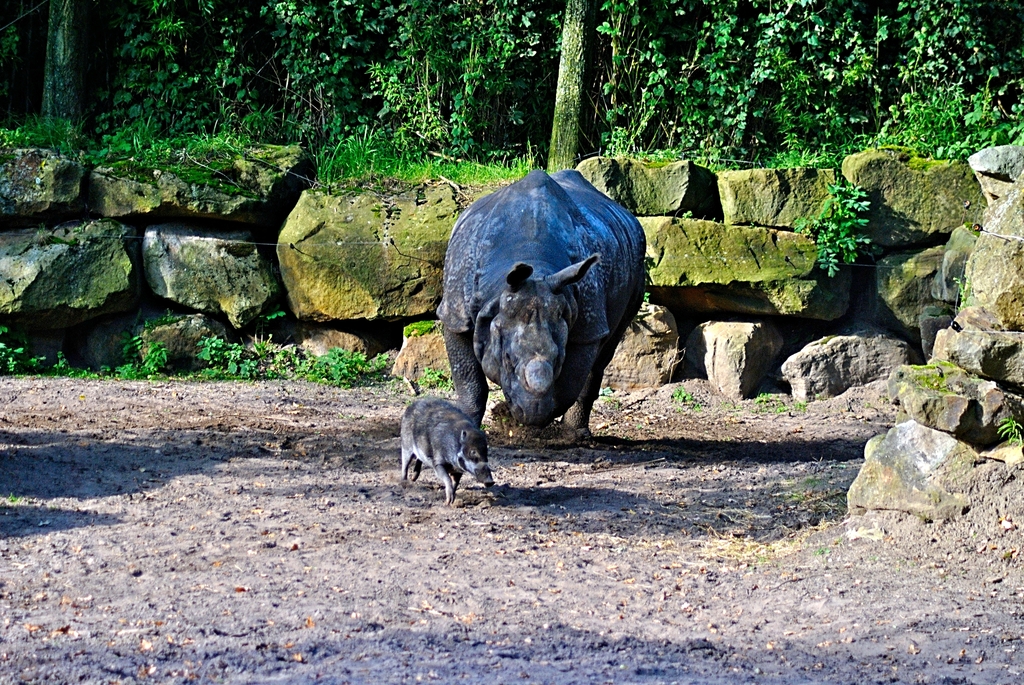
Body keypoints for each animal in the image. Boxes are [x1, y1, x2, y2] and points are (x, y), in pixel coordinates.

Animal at [436, 169, 646, 435]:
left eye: (558, 359)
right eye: (506, 358)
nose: (531, 413)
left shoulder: (588, 325)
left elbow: (571, 381)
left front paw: (538, 417)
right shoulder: (456, 315)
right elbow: (469, 383)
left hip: (637, 263)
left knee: (608, 346)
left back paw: (575, 434)